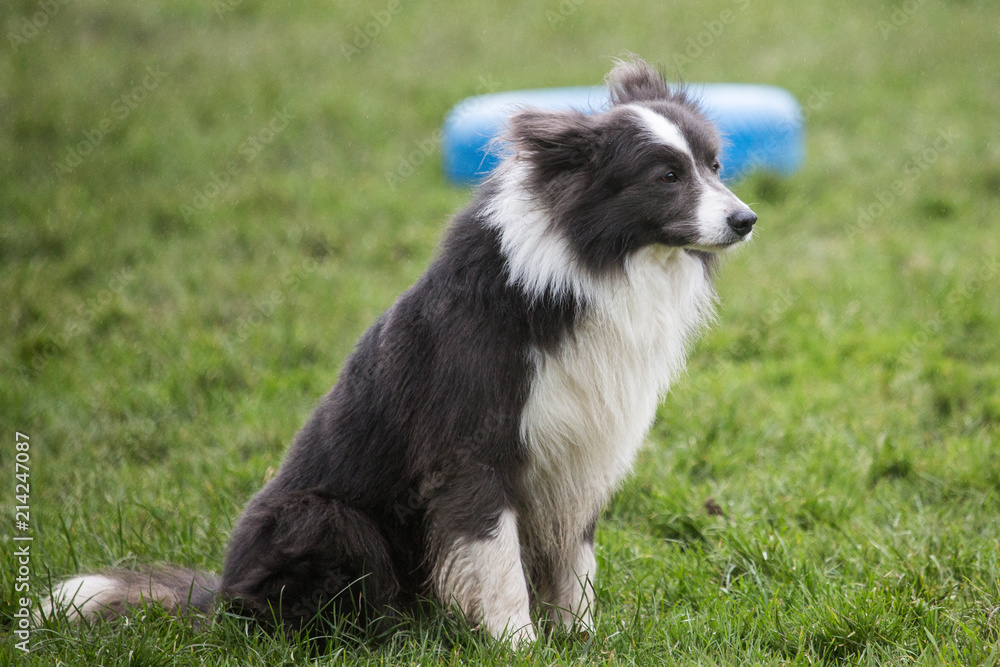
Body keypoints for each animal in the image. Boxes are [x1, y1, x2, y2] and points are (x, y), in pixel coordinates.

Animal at [41, 57, 756, 648]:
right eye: (666, 176)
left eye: (716, 165)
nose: (746, 220)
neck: (590, 264)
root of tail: (219, 600)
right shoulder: (473, 444)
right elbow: (494, 554)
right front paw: (517, 644)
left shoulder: (585, 449)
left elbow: (573, 557)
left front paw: (582, 639)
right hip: (320, 519)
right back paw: (390, 638)